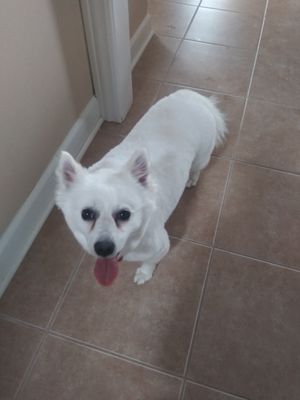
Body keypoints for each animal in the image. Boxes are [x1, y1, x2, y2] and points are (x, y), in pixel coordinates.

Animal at [55, 89, 226, 286]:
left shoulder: (161, 246)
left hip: (202, 156)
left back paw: (192, 178)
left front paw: (145, 273)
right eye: (86, 214)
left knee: (197, 168)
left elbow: (150, 261)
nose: (104, 248)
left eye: (124, 214)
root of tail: (194, 97)